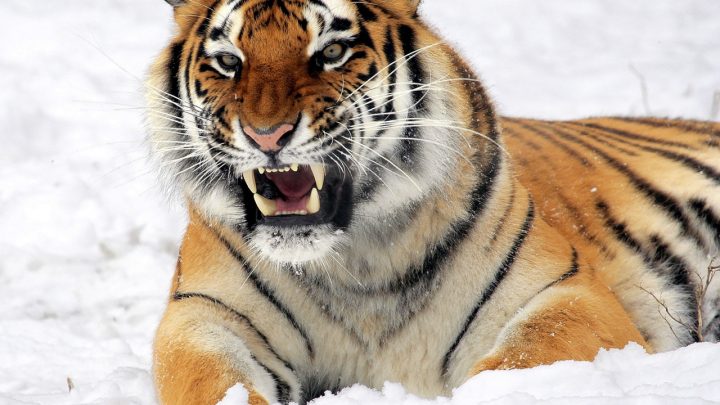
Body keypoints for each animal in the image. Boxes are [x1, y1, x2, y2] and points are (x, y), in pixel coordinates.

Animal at [145, 0, 720, 404]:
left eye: (330, 52)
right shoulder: (203, 315)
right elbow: (211, 381)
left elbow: (523, 358)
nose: (267, 135)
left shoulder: (568, 293)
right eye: (228, 61)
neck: (356, 264)